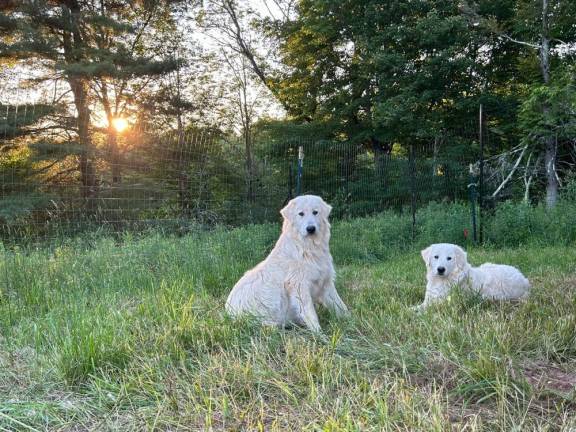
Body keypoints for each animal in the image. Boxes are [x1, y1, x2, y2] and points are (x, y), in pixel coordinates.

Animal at [227, 194, 348, 332]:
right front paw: (318, 332)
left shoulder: (325, 282)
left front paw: (350, 319)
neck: (307, 247)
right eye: (301, 214)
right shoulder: (299, 285)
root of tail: (228, 314)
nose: (311, 229)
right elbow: (310, 312)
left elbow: (340, 305)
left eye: (315, 212)